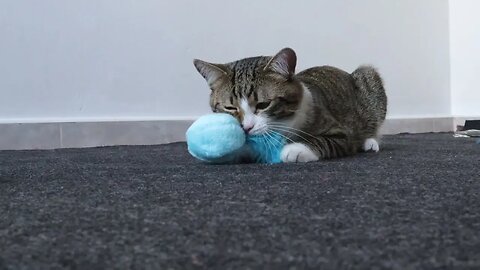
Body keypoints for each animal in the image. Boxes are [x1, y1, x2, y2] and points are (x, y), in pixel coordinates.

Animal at [193, 47, 388, 162]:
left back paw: (370, 142)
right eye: (230, 108)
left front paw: (295, 149)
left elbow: (322, 140)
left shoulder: (342, 132)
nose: (246, 128)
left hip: (367, 77)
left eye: (263, 104)